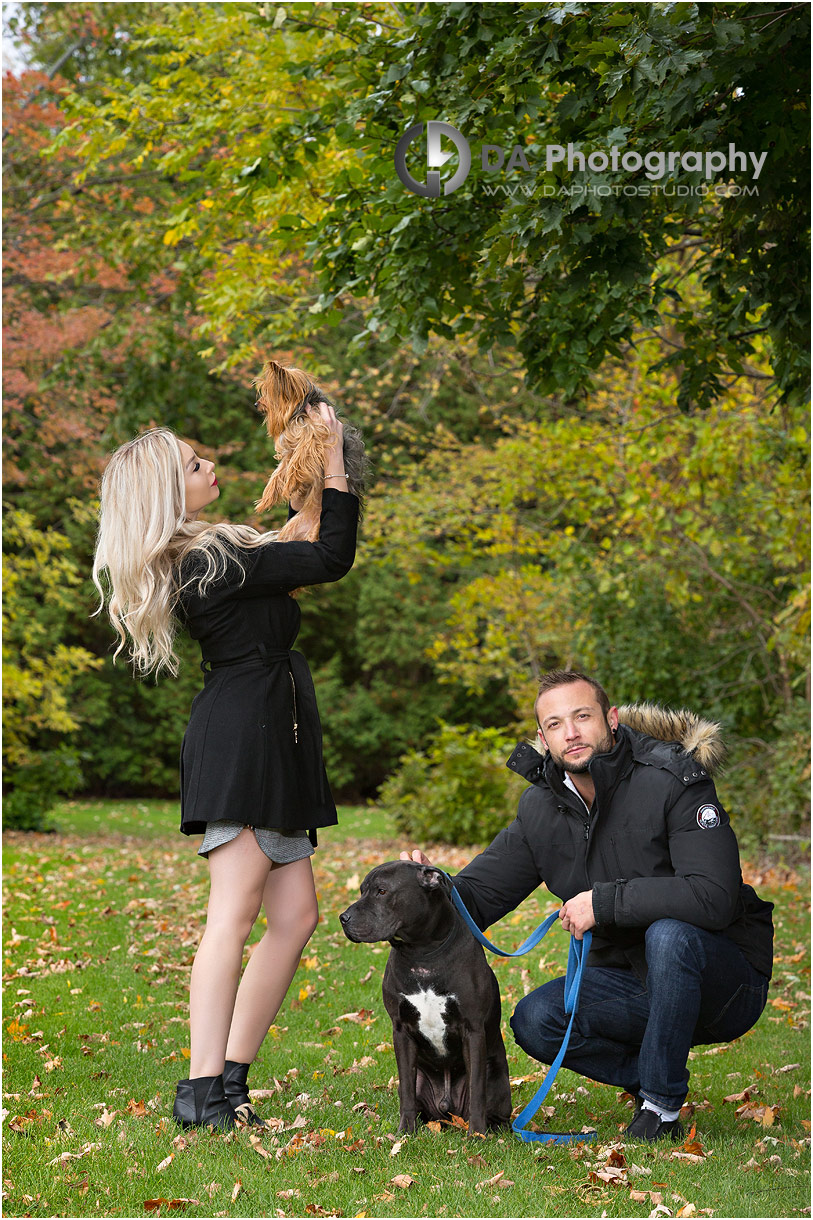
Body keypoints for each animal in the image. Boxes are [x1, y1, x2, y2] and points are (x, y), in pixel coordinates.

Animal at [339, 858, 510, 1132]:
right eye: (362, 890)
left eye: (382, 891)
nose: (343, 918)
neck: (422, 952)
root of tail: (447, 1110)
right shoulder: (401, 1030)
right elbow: (407, 1090)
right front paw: (405, 1131)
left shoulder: (473, 1030)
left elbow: (477, 1090)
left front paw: (477, 1134)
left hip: (496, 1076)